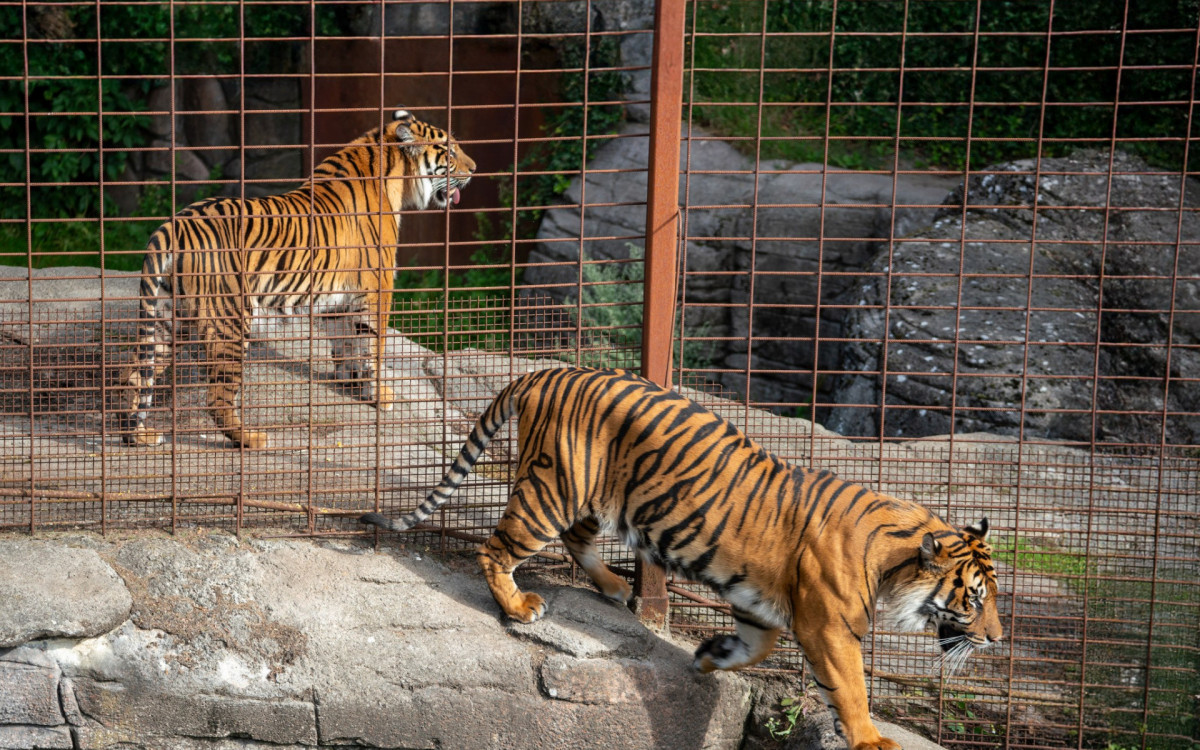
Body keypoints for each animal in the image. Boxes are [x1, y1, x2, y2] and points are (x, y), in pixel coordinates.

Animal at [119, 108, 475, 449]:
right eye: (450, 151)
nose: (474, 168)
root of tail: (173, 224)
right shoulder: (378, 289)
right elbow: (373, 346)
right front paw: (380, 395)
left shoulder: (338, 297)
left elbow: (345, 344)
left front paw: (350, 381)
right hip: (229, 320)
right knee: (216, 398)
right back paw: (251, 439)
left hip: (167, 317)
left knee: (134, 375)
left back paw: (137, 435)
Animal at [361, 367, 1002, 750]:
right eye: (974, 599)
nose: (996, 640)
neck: (894, 563)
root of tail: (549, 368)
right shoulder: (830, 629)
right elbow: (850, 688)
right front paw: (870, 739)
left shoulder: (759, 605)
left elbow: (757, 646)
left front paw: (711, 657)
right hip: (552, 489)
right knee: (497, 548)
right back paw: (520, 606)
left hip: (598, 498)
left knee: (577, 541)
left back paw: (616, 589)